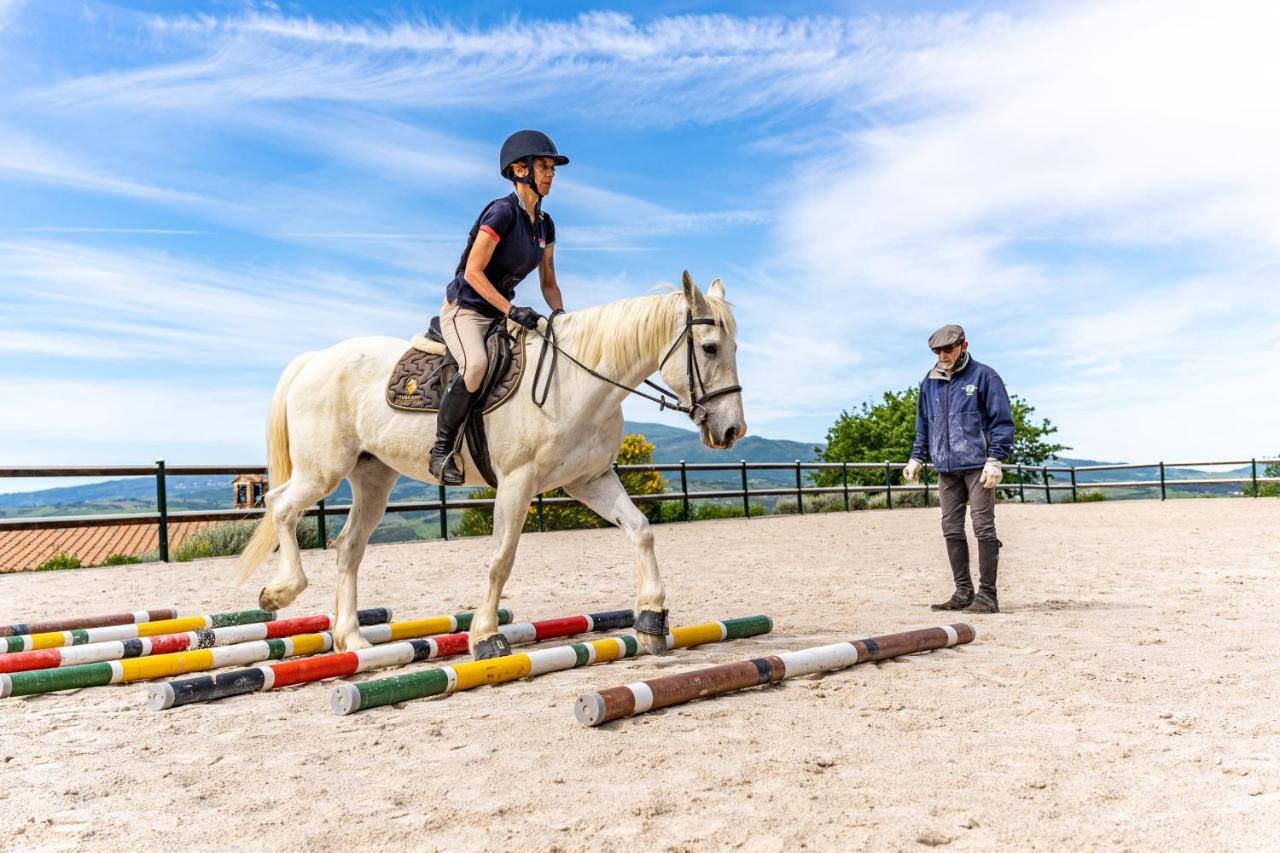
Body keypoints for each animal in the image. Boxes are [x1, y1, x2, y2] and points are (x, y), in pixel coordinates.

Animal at [235, 272, 747, 650]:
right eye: (709, 348)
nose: (732, 431)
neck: (577, 381)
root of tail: (315, 359)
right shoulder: (518, 481)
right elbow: (502, 556)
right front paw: (485, 635)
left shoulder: (590, 480)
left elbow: (640, 530)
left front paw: (653, 616)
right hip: (322, 471)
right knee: (280, 506)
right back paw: (278, 592)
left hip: (373, 478)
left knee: (348, 548)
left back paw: (353, 640)